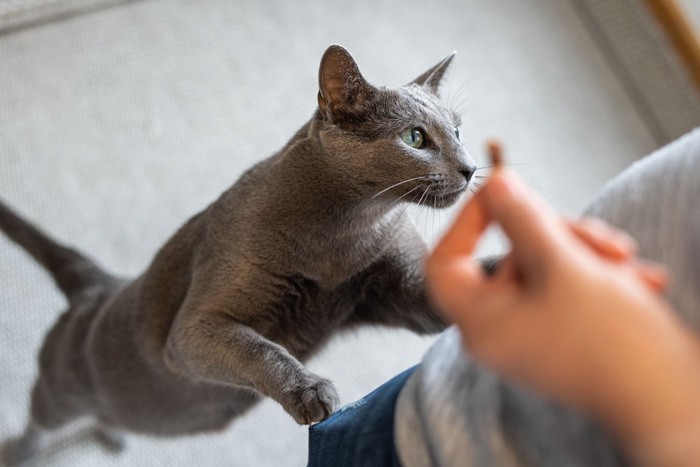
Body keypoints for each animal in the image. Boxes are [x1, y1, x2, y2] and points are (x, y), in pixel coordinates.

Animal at [0, 44, 476, 464]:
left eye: (457, 132)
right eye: (414, 137)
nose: (471, 168)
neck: (348, 235)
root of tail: (100, 285)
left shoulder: (397, 292)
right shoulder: (192, 332)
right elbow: (257, 348)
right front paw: (308, 391)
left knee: (108, 415)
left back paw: (114, 433)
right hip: (59, 389)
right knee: (42, 417)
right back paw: (26, 449)